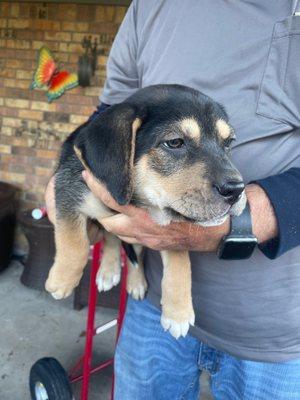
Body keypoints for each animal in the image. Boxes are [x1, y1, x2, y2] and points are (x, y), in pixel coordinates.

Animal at [45, 83, 246, 338]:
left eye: (228, 142)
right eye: (175, 142)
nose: (236, 190)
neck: (138, 201)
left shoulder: (171, 231)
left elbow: (181, 264)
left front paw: (178, 313)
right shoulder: (67, 192)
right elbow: (74, 242)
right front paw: (61, 280)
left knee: (133, 253)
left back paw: (134, 282)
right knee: (112, 239)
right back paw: (108, 271)